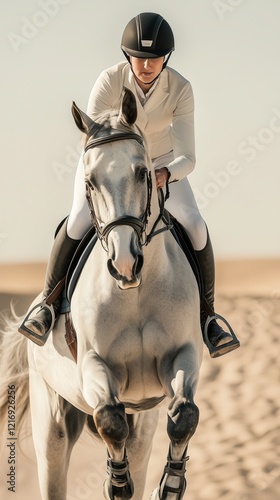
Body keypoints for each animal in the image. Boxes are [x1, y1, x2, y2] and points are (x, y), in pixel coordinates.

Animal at [0, 88, 202, 498]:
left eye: (143, 172)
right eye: (90, 181)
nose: (124, 264)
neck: (135, 294)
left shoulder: (183, 355)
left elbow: (184, 415)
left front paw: (171, 484)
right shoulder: (94, 365)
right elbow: (109, 418)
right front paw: (116, 481)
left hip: (143, 425)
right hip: (53, 423)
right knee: (59, 465)